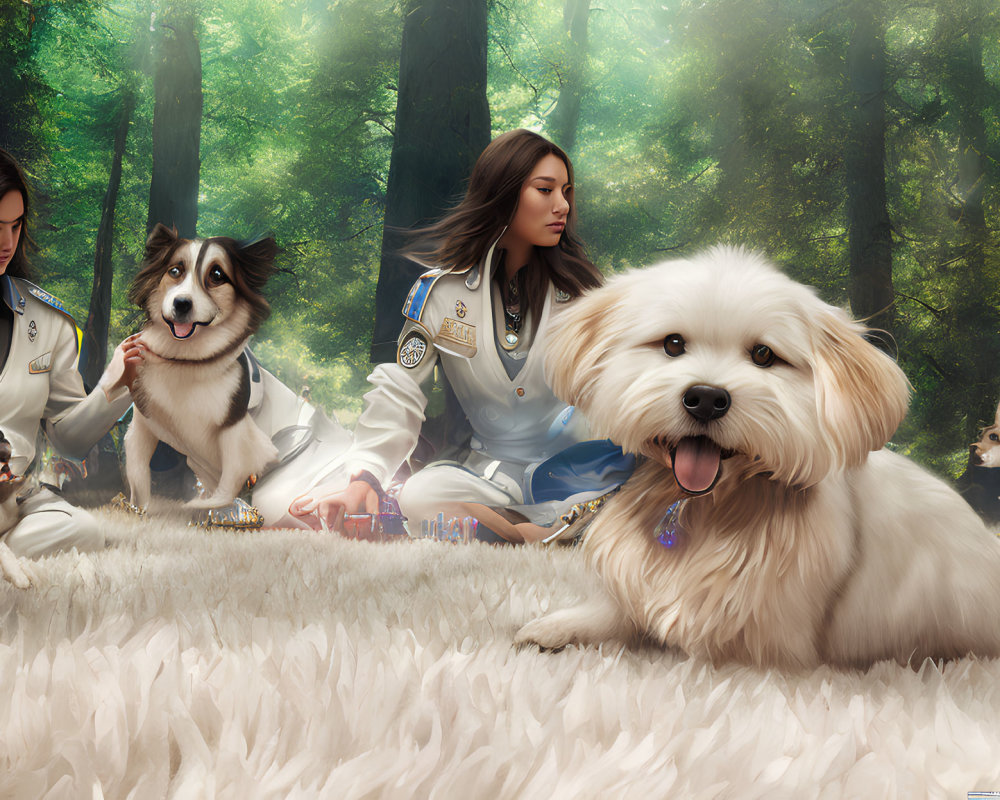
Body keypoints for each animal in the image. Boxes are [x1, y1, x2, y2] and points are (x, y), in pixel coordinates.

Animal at [127, 223, 282, 512]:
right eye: (175, 271)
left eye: (217, 275)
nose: (181, 304)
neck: (187, 362)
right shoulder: (142, 421)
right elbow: (137, 473)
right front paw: (138, 509)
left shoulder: (234, 429)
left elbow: (230, 479)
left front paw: (202, 507)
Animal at [516, 245, 1000, 668]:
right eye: (672, 344)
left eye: (764, 354)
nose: (706, 398)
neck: (703, 505)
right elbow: (616, 612)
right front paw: (556, 627)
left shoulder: (770, 642)